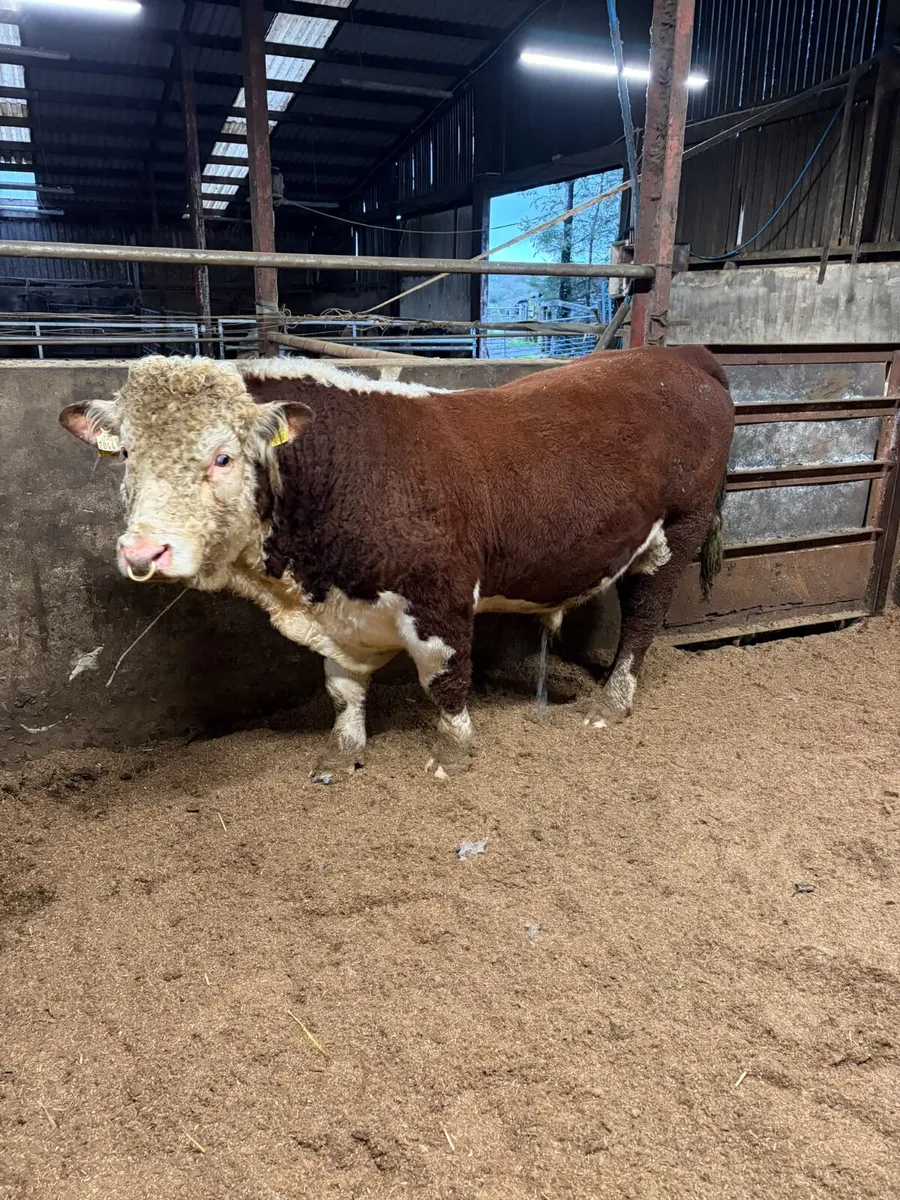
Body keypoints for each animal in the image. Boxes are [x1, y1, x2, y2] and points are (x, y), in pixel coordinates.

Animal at [59, 346, 734, 782]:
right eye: (127, 455)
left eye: (223, 457)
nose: (143, 551)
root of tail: (680, 355)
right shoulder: (341, 614)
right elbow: (341, 688)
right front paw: (342, 752)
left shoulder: (442, 596)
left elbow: (447, 680)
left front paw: (453, 752)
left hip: (678, 529)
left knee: (643, 617)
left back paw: (611, 702)